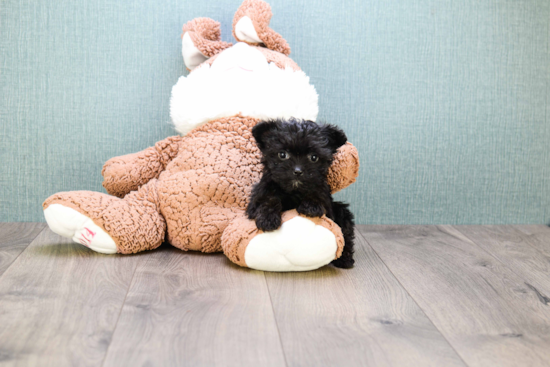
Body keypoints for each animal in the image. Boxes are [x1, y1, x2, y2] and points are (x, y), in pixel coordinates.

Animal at [247, 119, 358, 268]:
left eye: (314, 157)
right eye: (282, 154)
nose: (298, 171)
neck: (294, 190)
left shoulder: (326, 201)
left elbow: (317, 194)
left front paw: (311, 206)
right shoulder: (257, 198)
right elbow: (269, 199)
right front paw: (267, 218)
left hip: (341, 212)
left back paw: (345, 259)